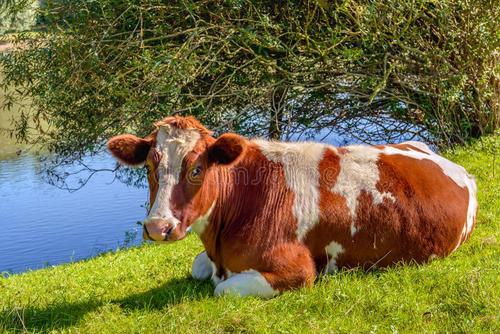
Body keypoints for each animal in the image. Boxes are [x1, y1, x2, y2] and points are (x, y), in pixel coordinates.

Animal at [108, 115, 476, 298]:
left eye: (197, 169)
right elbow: (198, 267)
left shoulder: (297, 270)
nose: (158, 227)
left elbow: (222, 289)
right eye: (149, 166)